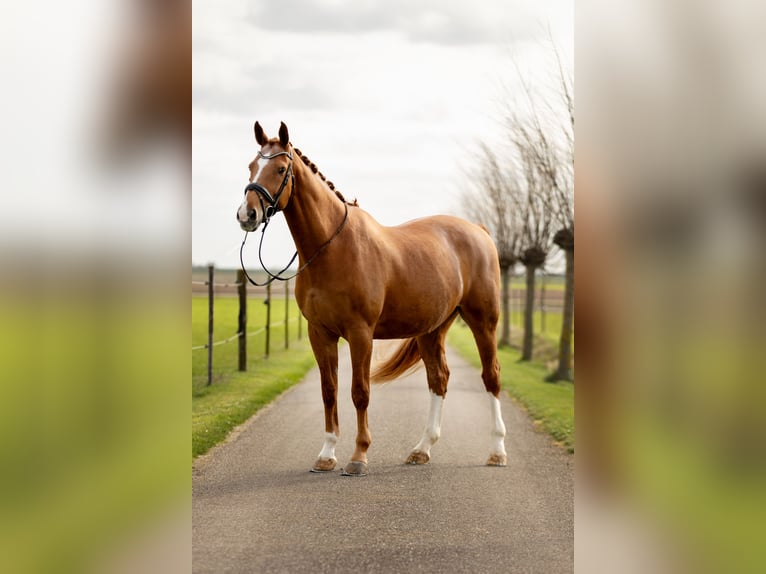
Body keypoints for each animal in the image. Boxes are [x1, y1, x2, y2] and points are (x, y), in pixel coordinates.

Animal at [236, 121, 507, 476]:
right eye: (251, 166)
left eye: (280, 169)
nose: (247, 215)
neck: (333, 248)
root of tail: (479, 231)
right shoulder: (320, 333)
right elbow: (329, 391)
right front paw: (327, 454)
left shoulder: (360, 333)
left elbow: (359, 392)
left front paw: (358, 456)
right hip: (431, 330)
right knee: (439, 379)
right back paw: (422, 449)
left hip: (482, 321)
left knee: (491, 376)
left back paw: (497, 451)